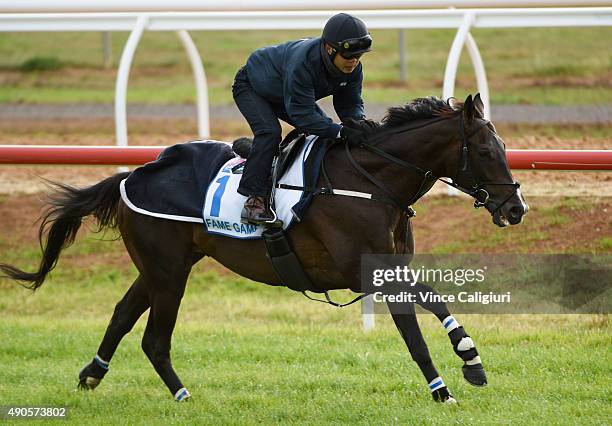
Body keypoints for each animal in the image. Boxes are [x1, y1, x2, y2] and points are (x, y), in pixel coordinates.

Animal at [0, 95, 524, 404]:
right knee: (153, 338)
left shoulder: (393, 266)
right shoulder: (368, 271)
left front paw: (472, 361)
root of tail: (133, 173)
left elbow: (436, 301)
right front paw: (443, 389)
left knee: (122, 314)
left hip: (162, 266)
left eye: (503, 148)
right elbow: (413, 331)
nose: (515, 207)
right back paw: (183, 397)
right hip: (169, 273)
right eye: (484, 151)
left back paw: (92, 374)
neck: (371, 183)